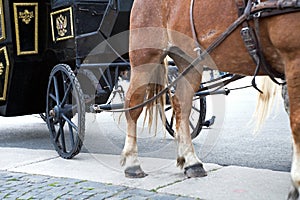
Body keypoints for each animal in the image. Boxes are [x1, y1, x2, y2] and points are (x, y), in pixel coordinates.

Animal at [119, 0, 300, 198]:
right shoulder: (293, 58)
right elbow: (297, 123)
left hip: (189, 62)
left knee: (181, 105)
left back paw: (191, 162)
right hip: (145, 57)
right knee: (133, 105)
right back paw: (132, 163)